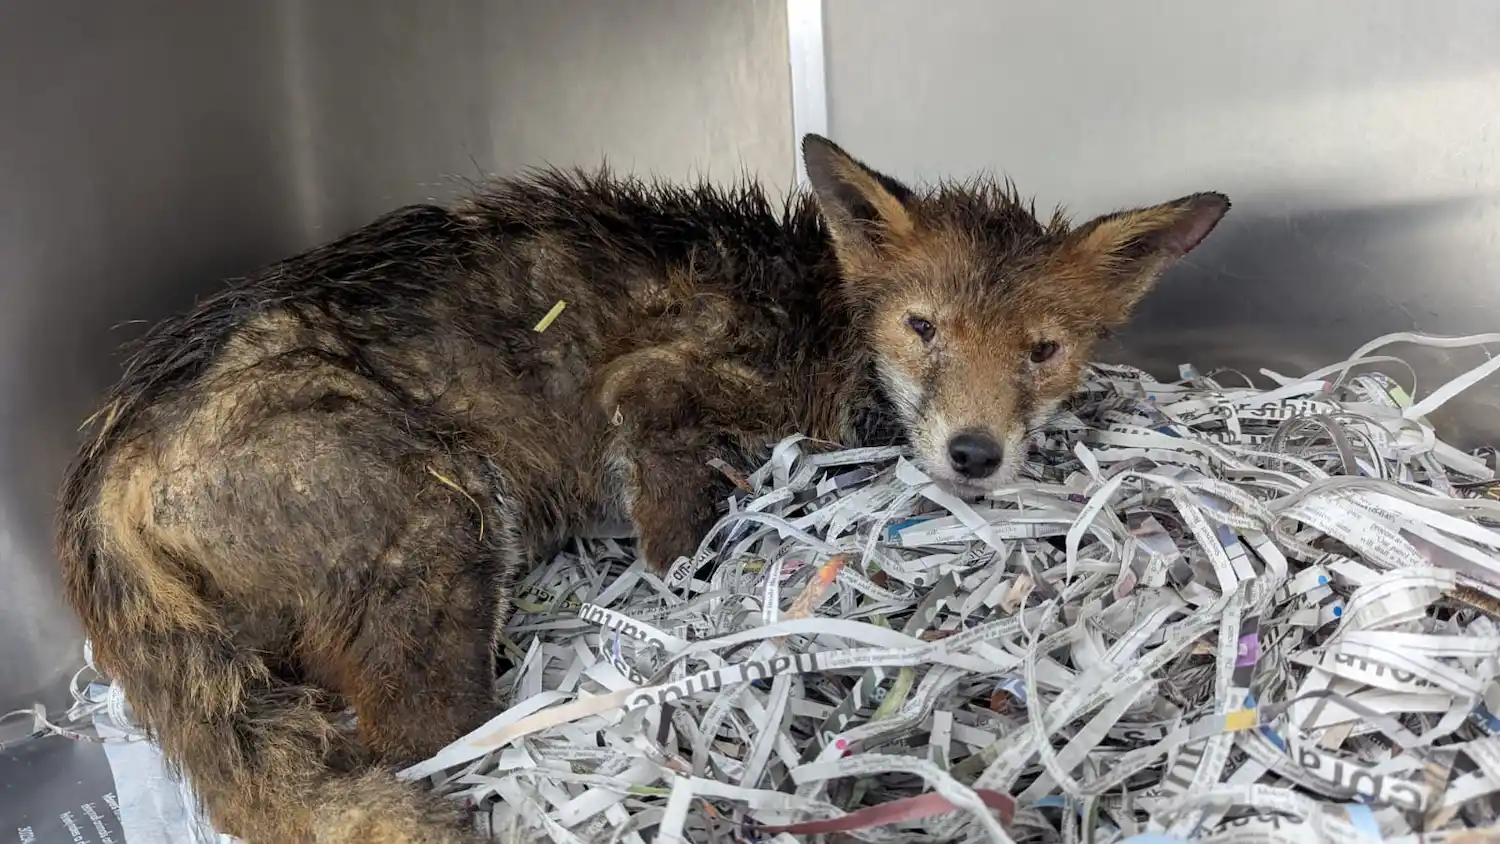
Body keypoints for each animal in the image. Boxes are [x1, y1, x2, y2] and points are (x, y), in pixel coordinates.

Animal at [56, 134, 1228, 842]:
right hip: (445, 532)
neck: (821, 319)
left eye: (1044, 349)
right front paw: (687, 614)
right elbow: (677, 541)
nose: (976, 455)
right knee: (420, 748)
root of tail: (103, 475)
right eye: (923, 328)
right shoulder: (658, 389)